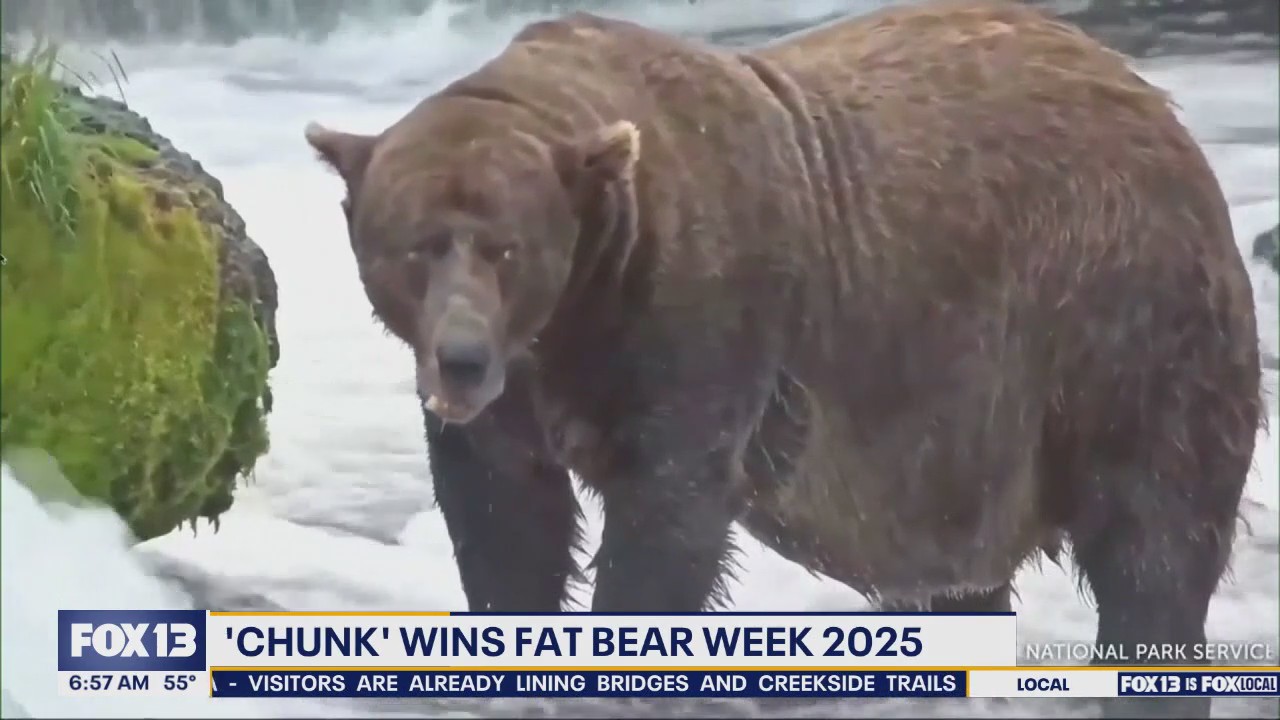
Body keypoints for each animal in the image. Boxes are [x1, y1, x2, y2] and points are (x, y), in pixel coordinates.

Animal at [305, 1, 1262, 717]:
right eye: (415, 248)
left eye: (506, 249)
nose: (462, 358)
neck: (576, 319)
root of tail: (1156, 103)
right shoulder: (518, 399)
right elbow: (505, 515)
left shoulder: (697, 323)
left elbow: (669, 512)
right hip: (962, 444)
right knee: (960, 581)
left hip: (1114, 321)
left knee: (1154, 540)